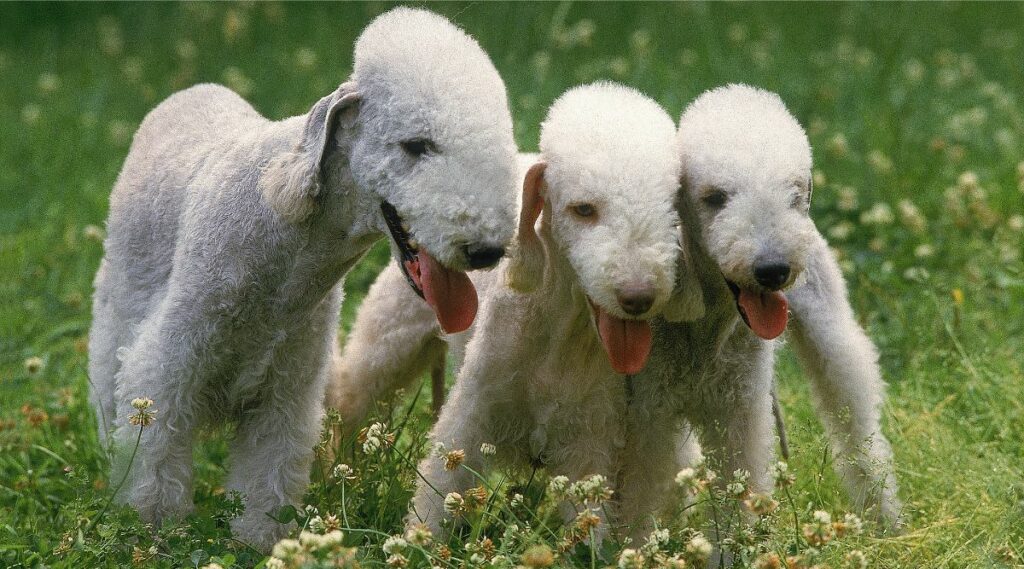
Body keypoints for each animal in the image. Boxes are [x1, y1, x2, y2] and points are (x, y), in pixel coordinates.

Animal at [88, 7, 520, 552]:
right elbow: (156, 470)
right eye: (416, 146)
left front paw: (258, 546)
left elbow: (266, 482)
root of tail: (188, 93)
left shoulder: (287, 393)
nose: (486, 251)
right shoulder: (168, 370)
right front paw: (155, 539)